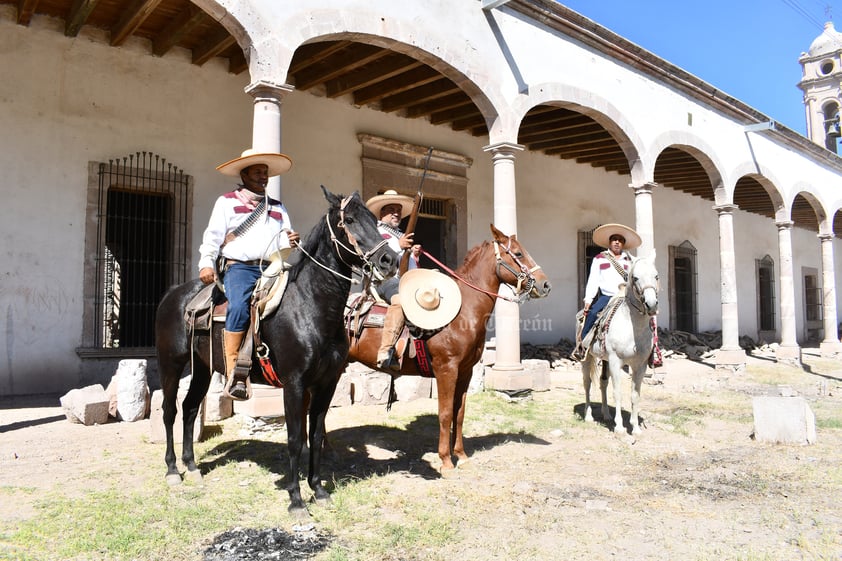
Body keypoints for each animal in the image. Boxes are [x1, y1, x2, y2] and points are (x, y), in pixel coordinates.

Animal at [155, 186, 398, 516]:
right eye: (348, 219)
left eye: (375, 220)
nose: (389, 260)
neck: (311, 306)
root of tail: (173, 294)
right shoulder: (293, 384)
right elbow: (295, 438)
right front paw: (296, 499)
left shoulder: (326, 383)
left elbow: (315, 435)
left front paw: (318, 489)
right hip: (171, 363)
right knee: (170, 410)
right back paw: (172, 471)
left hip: (203, 368)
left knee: (191, 408)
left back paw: (191, 466)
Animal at [344, 225, 548, 470]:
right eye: (517, 253)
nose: (545, 284)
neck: (462, 313)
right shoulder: (446, 370)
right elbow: (445, 413)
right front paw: (445, 461)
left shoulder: (465, 371)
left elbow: (459, 413)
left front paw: (461, 455)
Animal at [584, 254, 656, 434]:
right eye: (635, 277)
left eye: (656, 276)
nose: (651, 305)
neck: (633, 329)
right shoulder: (616, 361)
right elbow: (618, 393)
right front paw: (619, 427)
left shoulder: (640, 365)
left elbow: (635, 394)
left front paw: (635, 427)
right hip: (586, 358)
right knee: (587, 383)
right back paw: (588, 416)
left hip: (605, 360)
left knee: (603, 382)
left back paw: (606, 414)